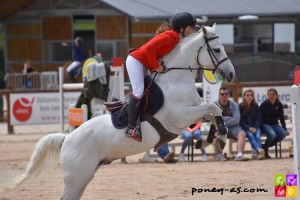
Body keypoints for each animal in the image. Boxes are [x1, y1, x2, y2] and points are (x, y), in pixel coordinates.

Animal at [3, 24, 236, 199]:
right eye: (216, 50)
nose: (231, 74)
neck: (176, 78)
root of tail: (66, 138)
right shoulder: (180, 117)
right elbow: (213, 107)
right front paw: (219, 138)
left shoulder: (193, 112)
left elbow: (213, 113)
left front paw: (211, 139)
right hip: (76, 178)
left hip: (84, 177)